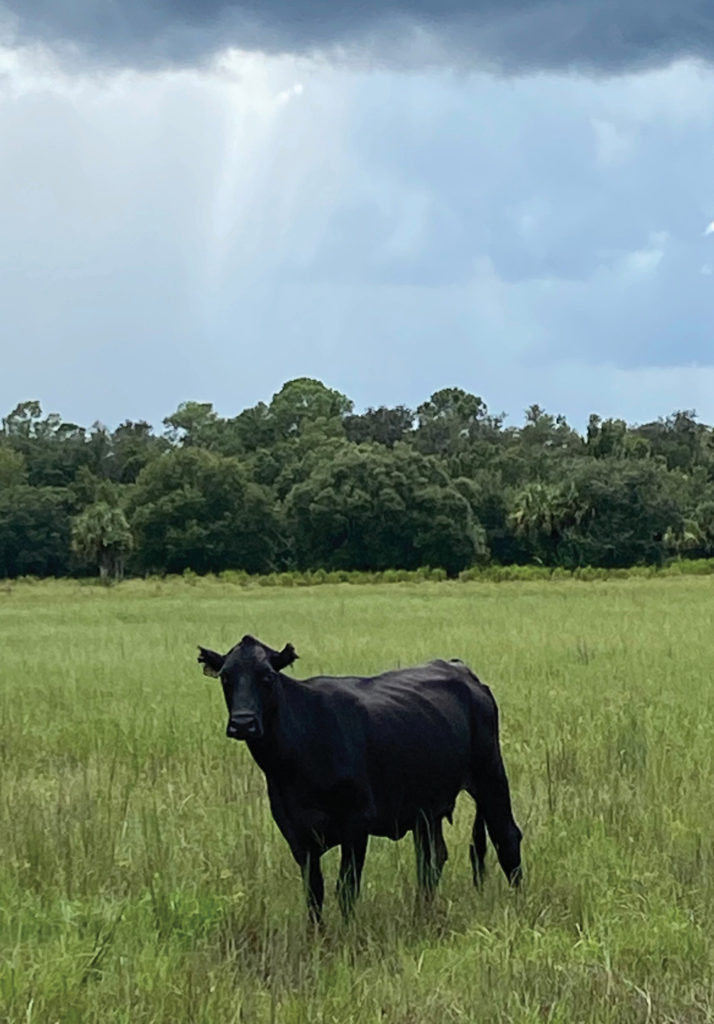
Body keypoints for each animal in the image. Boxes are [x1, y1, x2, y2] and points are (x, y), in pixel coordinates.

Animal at [197, 634, 522, 923]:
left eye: (266, 676)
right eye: (226, 677)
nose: (243, 723)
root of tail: (460, 669)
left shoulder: (356, 823)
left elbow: (346, 889)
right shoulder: (296, 834)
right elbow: (314, 893)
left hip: (490, 774)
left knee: (506, 836)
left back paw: (518, 903)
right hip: (426, 807)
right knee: (431, 858)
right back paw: (422, 913)